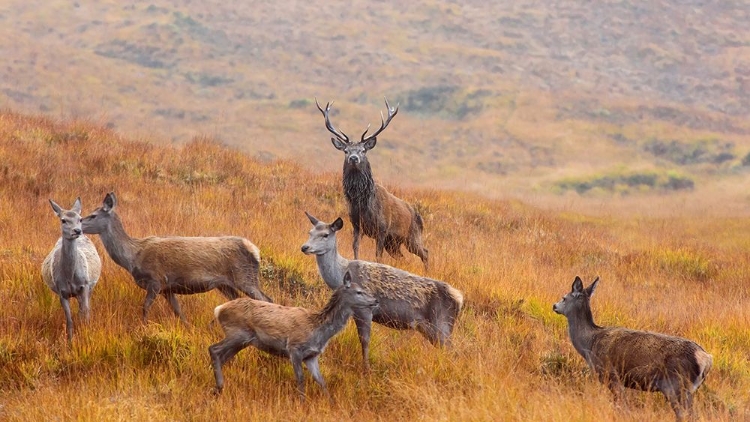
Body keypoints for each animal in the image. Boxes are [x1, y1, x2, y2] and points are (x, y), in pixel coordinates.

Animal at [41, 198, 101, 342]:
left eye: (80, 218)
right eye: (63, 220)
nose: (77, 231)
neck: (70, 276)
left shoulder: (85, 285)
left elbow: (86, 313)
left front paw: (87, 334)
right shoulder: (61, 292)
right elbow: (69, 320)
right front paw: (70, 340)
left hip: (89, 287)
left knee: (84, 309)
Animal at [209, 274, 378, 398]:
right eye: (359, 292)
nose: (375, 300)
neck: (318, 330)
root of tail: (218, 309)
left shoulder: (311, 356)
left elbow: (321, 381)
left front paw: (331, 402)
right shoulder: (294, 348)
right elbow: (301, 379)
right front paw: (302, 402)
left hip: (243, 341)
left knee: (222, 357)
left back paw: (217, 387)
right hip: (237, 334)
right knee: (213, 349)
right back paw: (219, 386)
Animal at [300, 211, 464, 370]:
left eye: (325, 234)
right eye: (310, 232)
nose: (304, 247)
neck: (342, 272)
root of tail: (459, 298)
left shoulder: (365, 310)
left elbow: (365, 341)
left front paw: (366, 370)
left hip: (442, 324)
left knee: (454, 351)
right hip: (431, 328)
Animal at [314, 98, 428, 268]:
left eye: (363, 150)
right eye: (346, 151)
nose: (353, 158)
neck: (363, 204)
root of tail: (419, 216)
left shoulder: (382, 228)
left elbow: (377, 255)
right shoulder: (356, 225)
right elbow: (355, 247)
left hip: (412, 236)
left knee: (425, 252)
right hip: (393, 243)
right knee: (404, 258)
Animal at [556, 276, 712, 422]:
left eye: (564, 298)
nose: (554, 305)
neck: (589, 344)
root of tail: (706, 359)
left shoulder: (611, 374)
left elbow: (622, 406)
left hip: (676, 385)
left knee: (684, 414)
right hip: (687, 389)